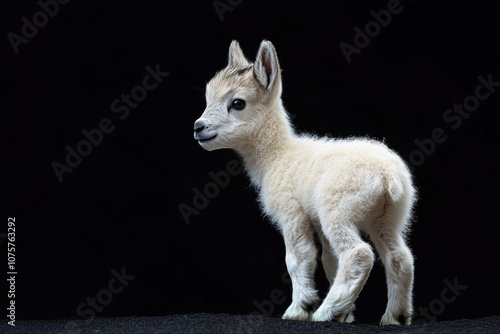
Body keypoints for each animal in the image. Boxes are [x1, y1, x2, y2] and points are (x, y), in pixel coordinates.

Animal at [193, 40, 416, 324]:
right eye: (208, 98)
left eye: (238, 103)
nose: (198, 128)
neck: (277, 155)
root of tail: (388, 175)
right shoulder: (315, 221)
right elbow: (330, 261)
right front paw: (347, 315)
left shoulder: (291, 212)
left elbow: (299, 258)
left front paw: (300, 309)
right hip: (389, 216)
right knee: (399, 257)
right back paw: (393, 317)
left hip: (338, 209)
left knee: (358, 254)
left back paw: (326, 312)